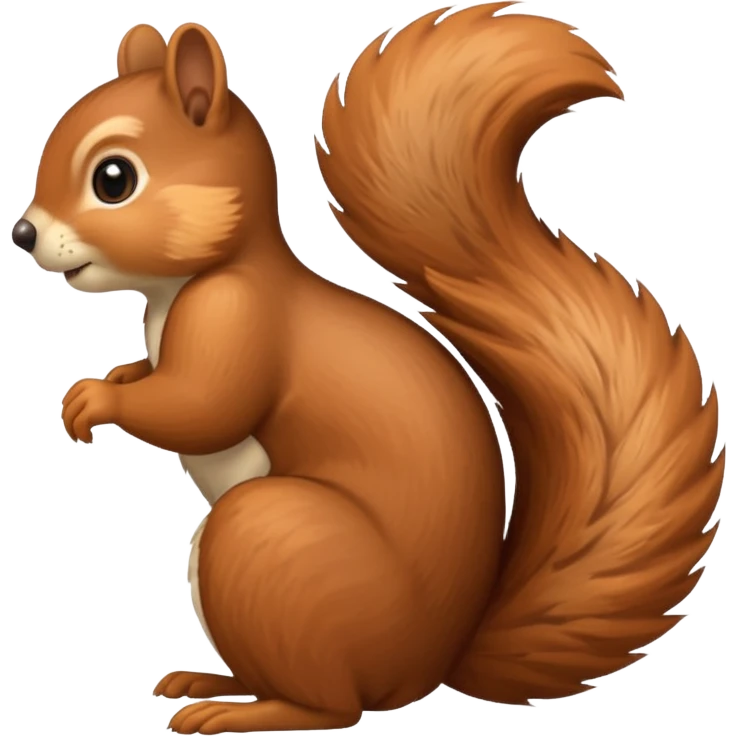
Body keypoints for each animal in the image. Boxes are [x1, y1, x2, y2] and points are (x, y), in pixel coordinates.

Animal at [11, 4, 724, 735]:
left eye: (114, 179)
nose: (23, 233)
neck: (181, 284)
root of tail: (433, 663)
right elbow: (156, 378)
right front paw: (112, 380)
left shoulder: (237, 318)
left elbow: (202, 405)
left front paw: (96, 401)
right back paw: (208, 678)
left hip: (269, 541)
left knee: (333, 705)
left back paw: (238, 711)